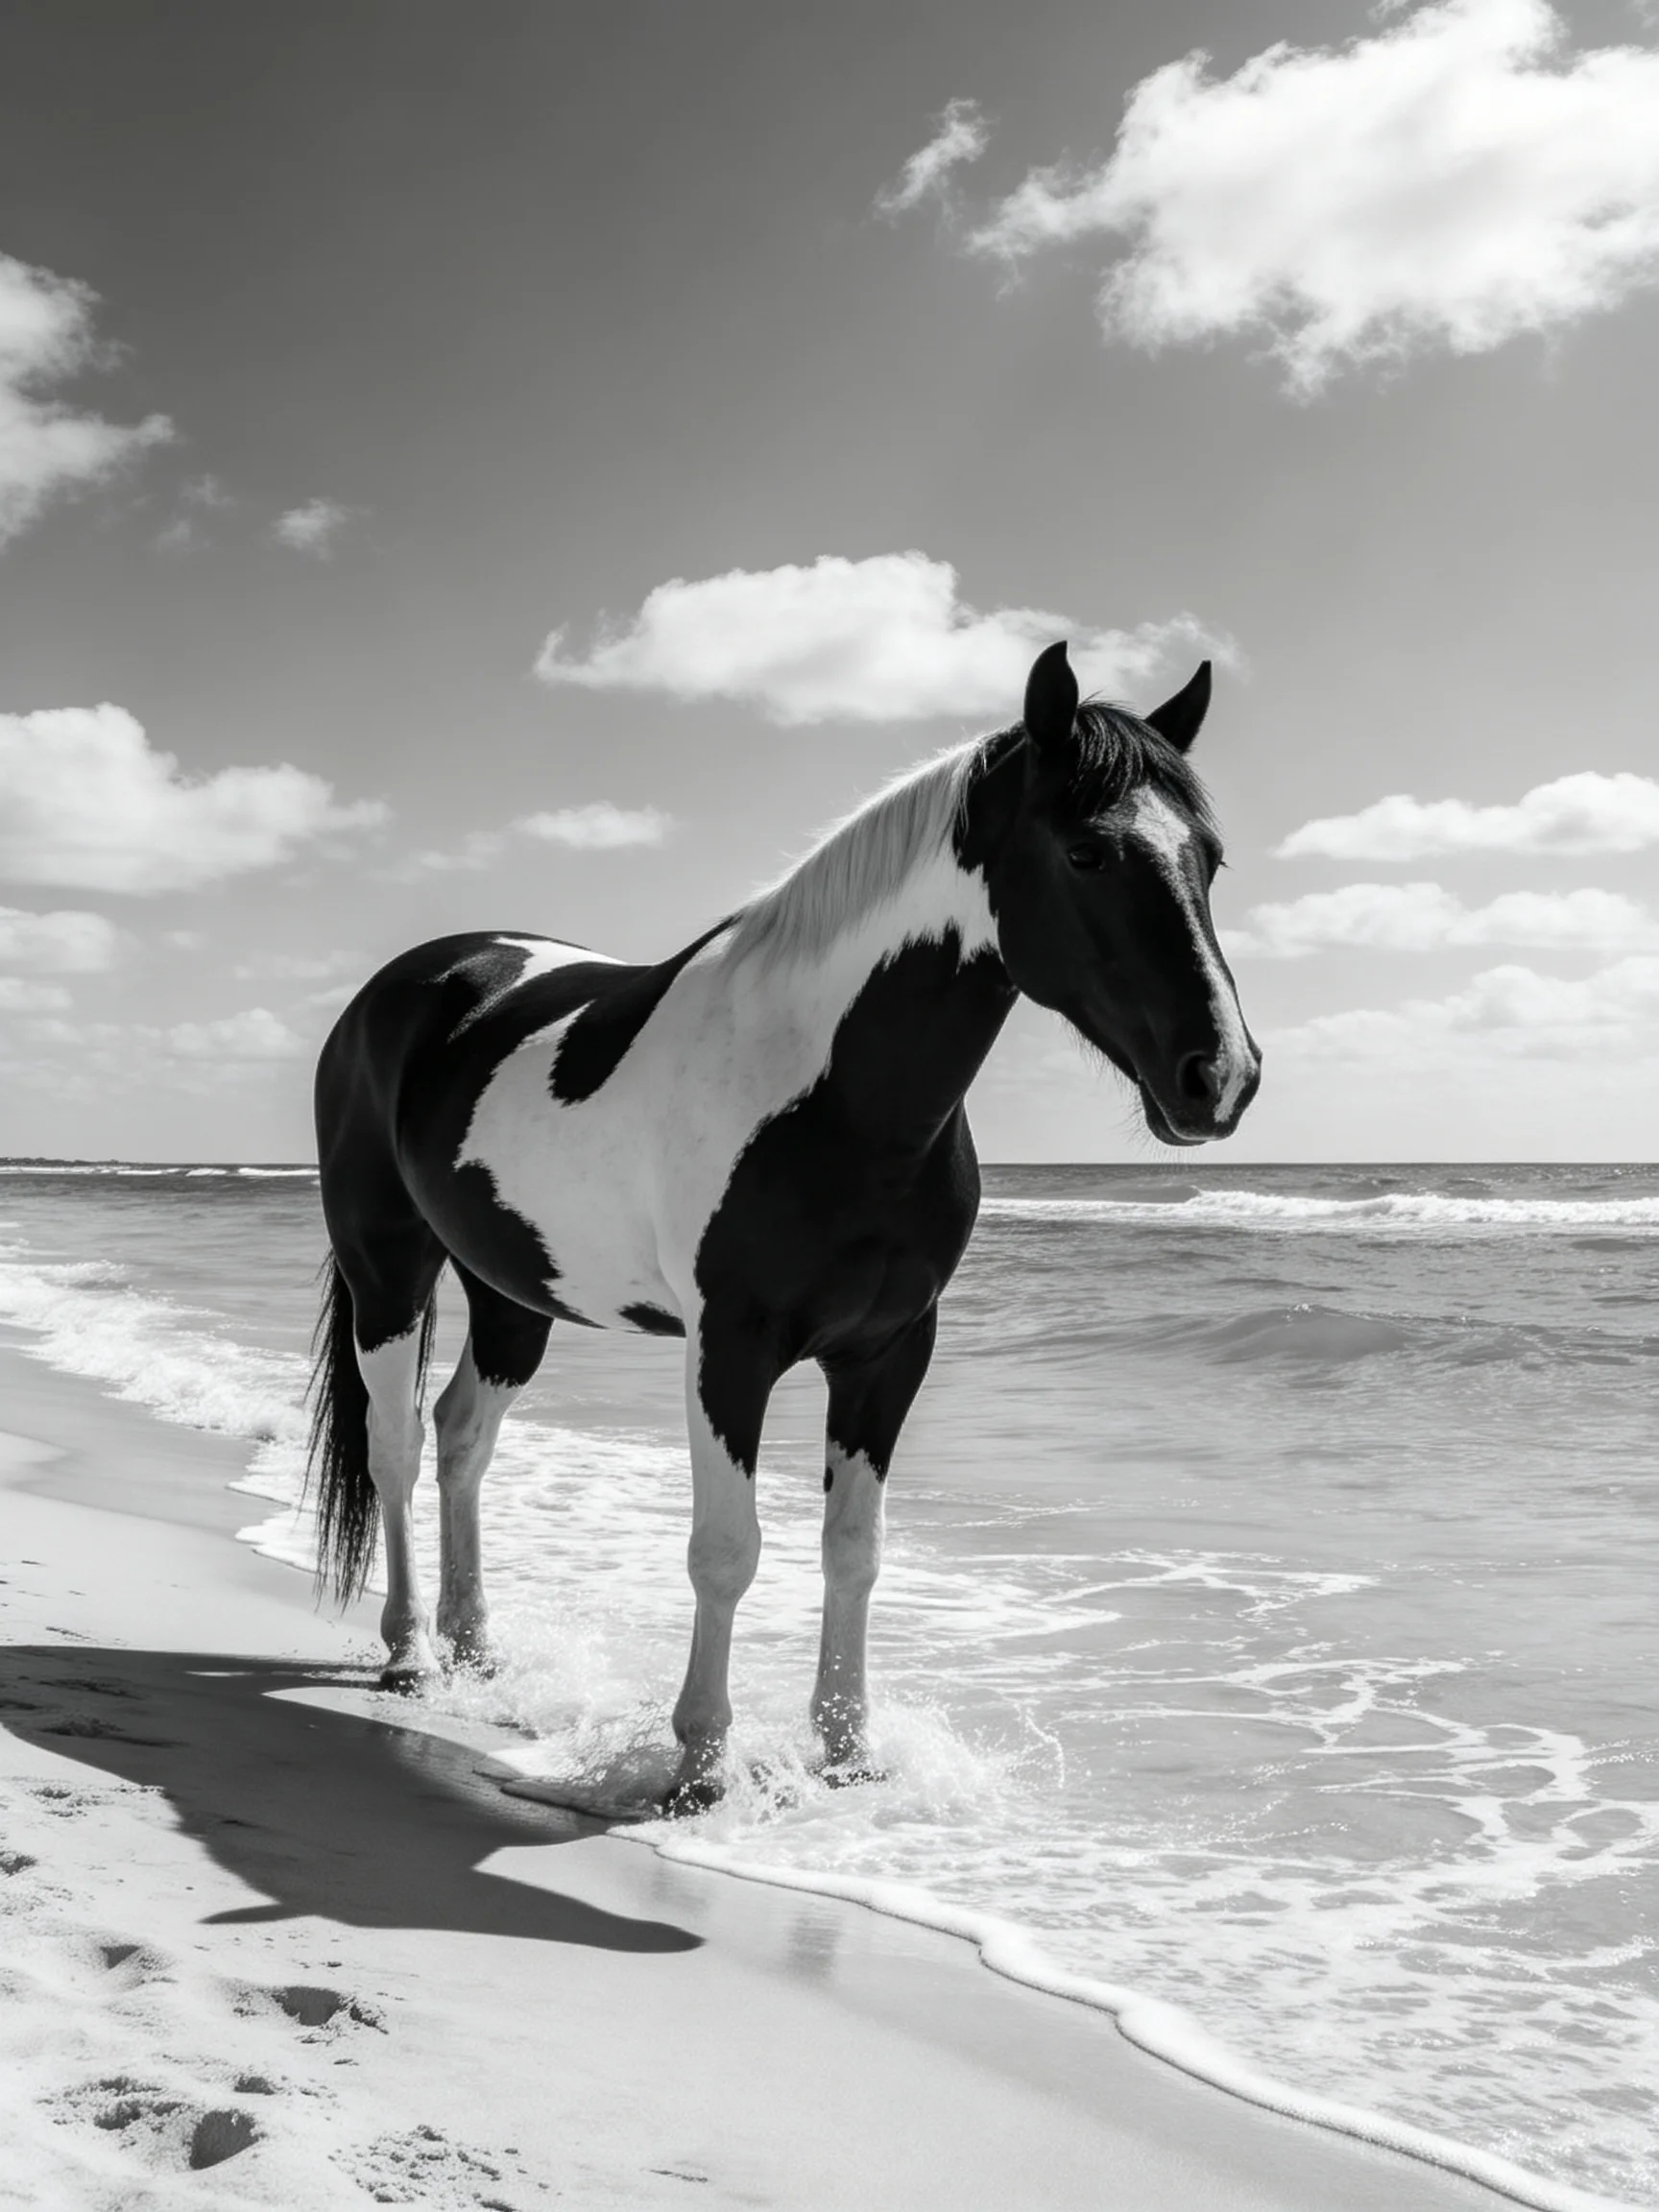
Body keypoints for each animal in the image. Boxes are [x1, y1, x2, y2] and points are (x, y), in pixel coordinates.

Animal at [307, 640, 1260, 1812]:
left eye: (1209, 858)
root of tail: (414, 981)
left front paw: (848, 1754)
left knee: (460, 1439)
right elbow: (726, 1548)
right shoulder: (731, 1346)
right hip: (388, 1268)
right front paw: (703, 1764)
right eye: (1086, 851)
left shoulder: (889, 1353)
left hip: (512, 1292)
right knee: (395, 1447)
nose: (1220, 1077)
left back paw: (476, 1648)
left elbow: (855, 1546)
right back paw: (407, 1655)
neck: (833, 1095)